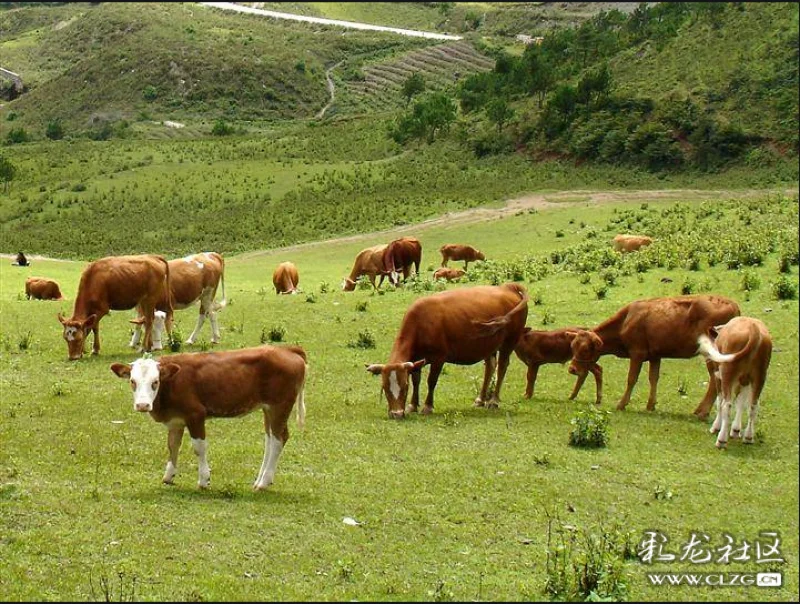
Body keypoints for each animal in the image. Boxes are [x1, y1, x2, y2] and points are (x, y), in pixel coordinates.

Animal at [112, 344, 310, 490]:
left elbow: (199, 448)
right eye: (132, 381)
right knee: (270, 439)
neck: (172, 383)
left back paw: (263, 483)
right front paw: (168, 476)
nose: (143, 405)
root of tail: (287, 349)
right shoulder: (175, 421)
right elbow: (173, 446)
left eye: (155, 382)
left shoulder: (196, 415)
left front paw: (203, 480)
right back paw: (260, 479)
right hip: (268, 409)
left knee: (278, 439)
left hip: (280, 406)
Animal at [366, 284, 528, 418]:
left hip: (509, 342)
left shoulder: (439, 358)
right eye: (385, 388)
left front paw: (427, 406)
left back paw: (494, 401)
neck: (420, 324)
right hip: (489, 345)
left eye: (404, 387)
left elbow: (431, 381)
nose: (397, 414)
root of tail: (507, 287)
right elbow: (416, 380)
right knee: (490, 367)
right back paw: (480, 399)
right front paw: (412, 405)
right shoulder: (416, 360)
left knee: (501, 368)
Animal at [564, 294, 740, 418]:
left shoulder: (637, 353)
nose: (572, 369)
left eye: (585, 349)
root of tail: (733, 305)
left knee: (715, 380)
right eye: (572, 346)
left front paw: (622, 404)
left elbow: (631, 378)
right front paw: (650, 404)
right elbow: (653, 378)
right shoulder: (655, 355)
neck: (626, 320)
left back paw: (702, 411)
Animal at [696, 316, 772, 448]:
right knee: (753, 405)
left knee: (727, 404)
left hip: (728, 373)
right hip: (760, 376)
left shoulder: (718, 377)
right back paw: (748, 437)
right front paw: (736, 430)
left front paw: (716, 427)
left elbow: (720, 402)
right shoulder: (744, 381)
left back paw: (721, 440)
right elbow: (741, 402)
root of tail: (753, 328)